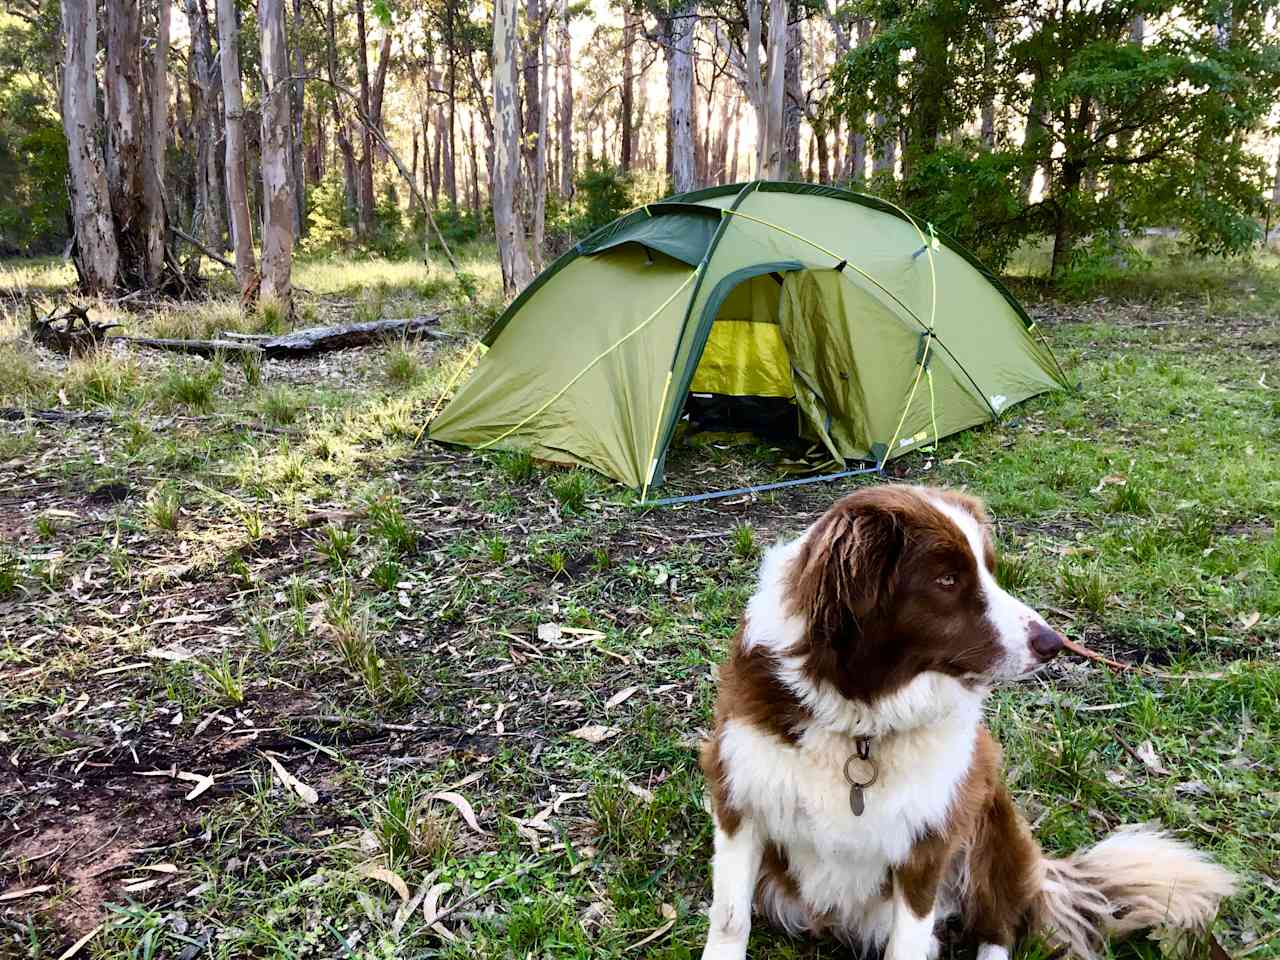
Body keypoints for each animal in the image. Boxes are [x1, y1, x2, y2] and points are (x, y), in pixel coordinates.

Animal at [701, 488, 1228, 960]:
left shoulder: (928, 841)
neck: (862, 717)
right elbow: (730, 917)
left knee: (998, 927)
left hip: (992, 826)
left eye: (989, 570)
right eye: (948, 579)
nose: (1053, 643)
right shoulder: (740, 800)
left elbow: (909, 941)